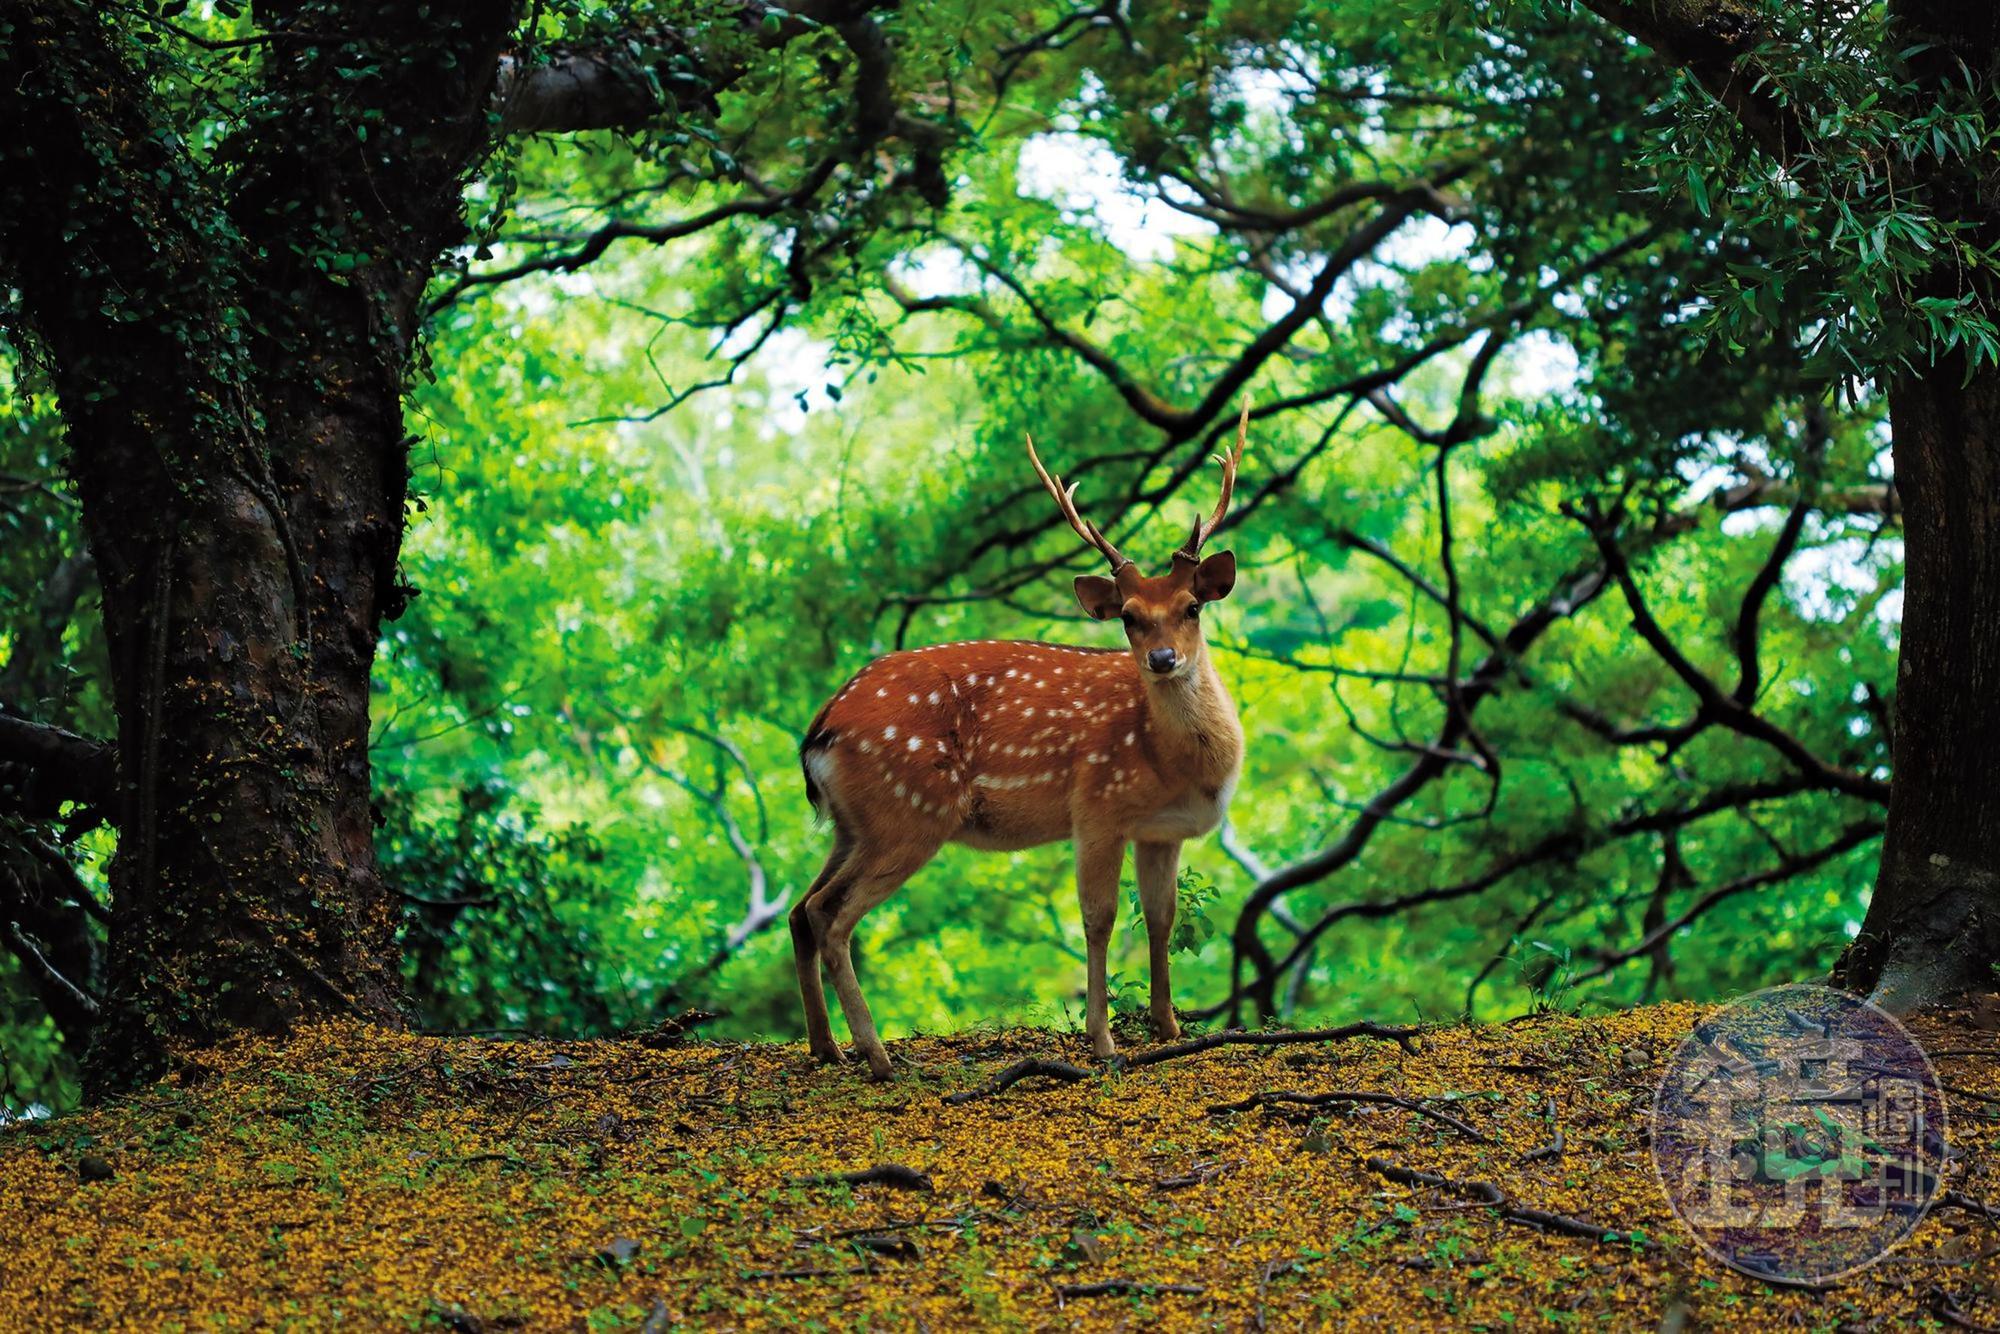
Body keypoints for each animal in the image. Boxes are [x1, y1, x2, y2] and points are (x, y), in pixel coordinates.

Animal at [791, 408, 1249, 1079]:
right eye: (1129, 617)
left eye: (1192, 606)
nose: (1163, 660)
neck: (1175, 764)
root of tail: (819, 729)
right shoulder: (1097, 805)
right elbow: (1099, 919)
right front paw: (1102, 1041)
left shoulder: (1159, 831)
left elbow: (1161, 921)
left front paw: (1168, 1028)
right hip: (909, 814)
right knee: (830, 915)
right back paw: (878, 1056)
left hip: (855, 825)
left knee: (801, 909)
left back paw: (826, 1047)